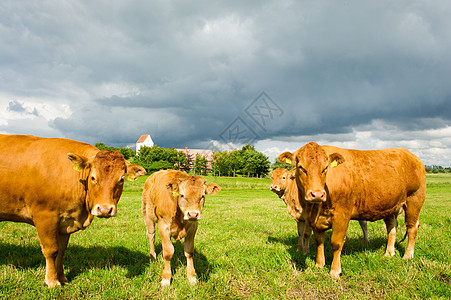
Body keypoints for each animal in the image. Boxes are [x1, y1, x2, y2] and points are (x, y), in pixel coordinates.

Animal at [0, 135, 146, 288]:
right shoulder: (45, 217)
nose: (105, 210)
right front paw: (52, 280)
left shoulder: (65, 221)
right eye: (93, 178)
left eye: (121, 179)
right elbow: (51, 250)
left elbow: (61, 251)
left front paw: (62, 277)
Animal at [278, 142, 428, 278]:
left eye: (325, 168)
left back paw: (407, 256)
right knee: (392, 227)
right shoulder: (315, 219)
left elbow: (336, 242)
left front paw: (334, 271)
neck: (315, 207)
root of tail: (411, 155)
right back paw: (389, 253)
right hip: (390, 205)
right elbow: (319, 241)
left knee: (412, 227)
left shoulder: (342, 214)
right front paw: (319, 264)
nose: (317, 194)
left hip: (414, 199)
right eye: (301, 167)